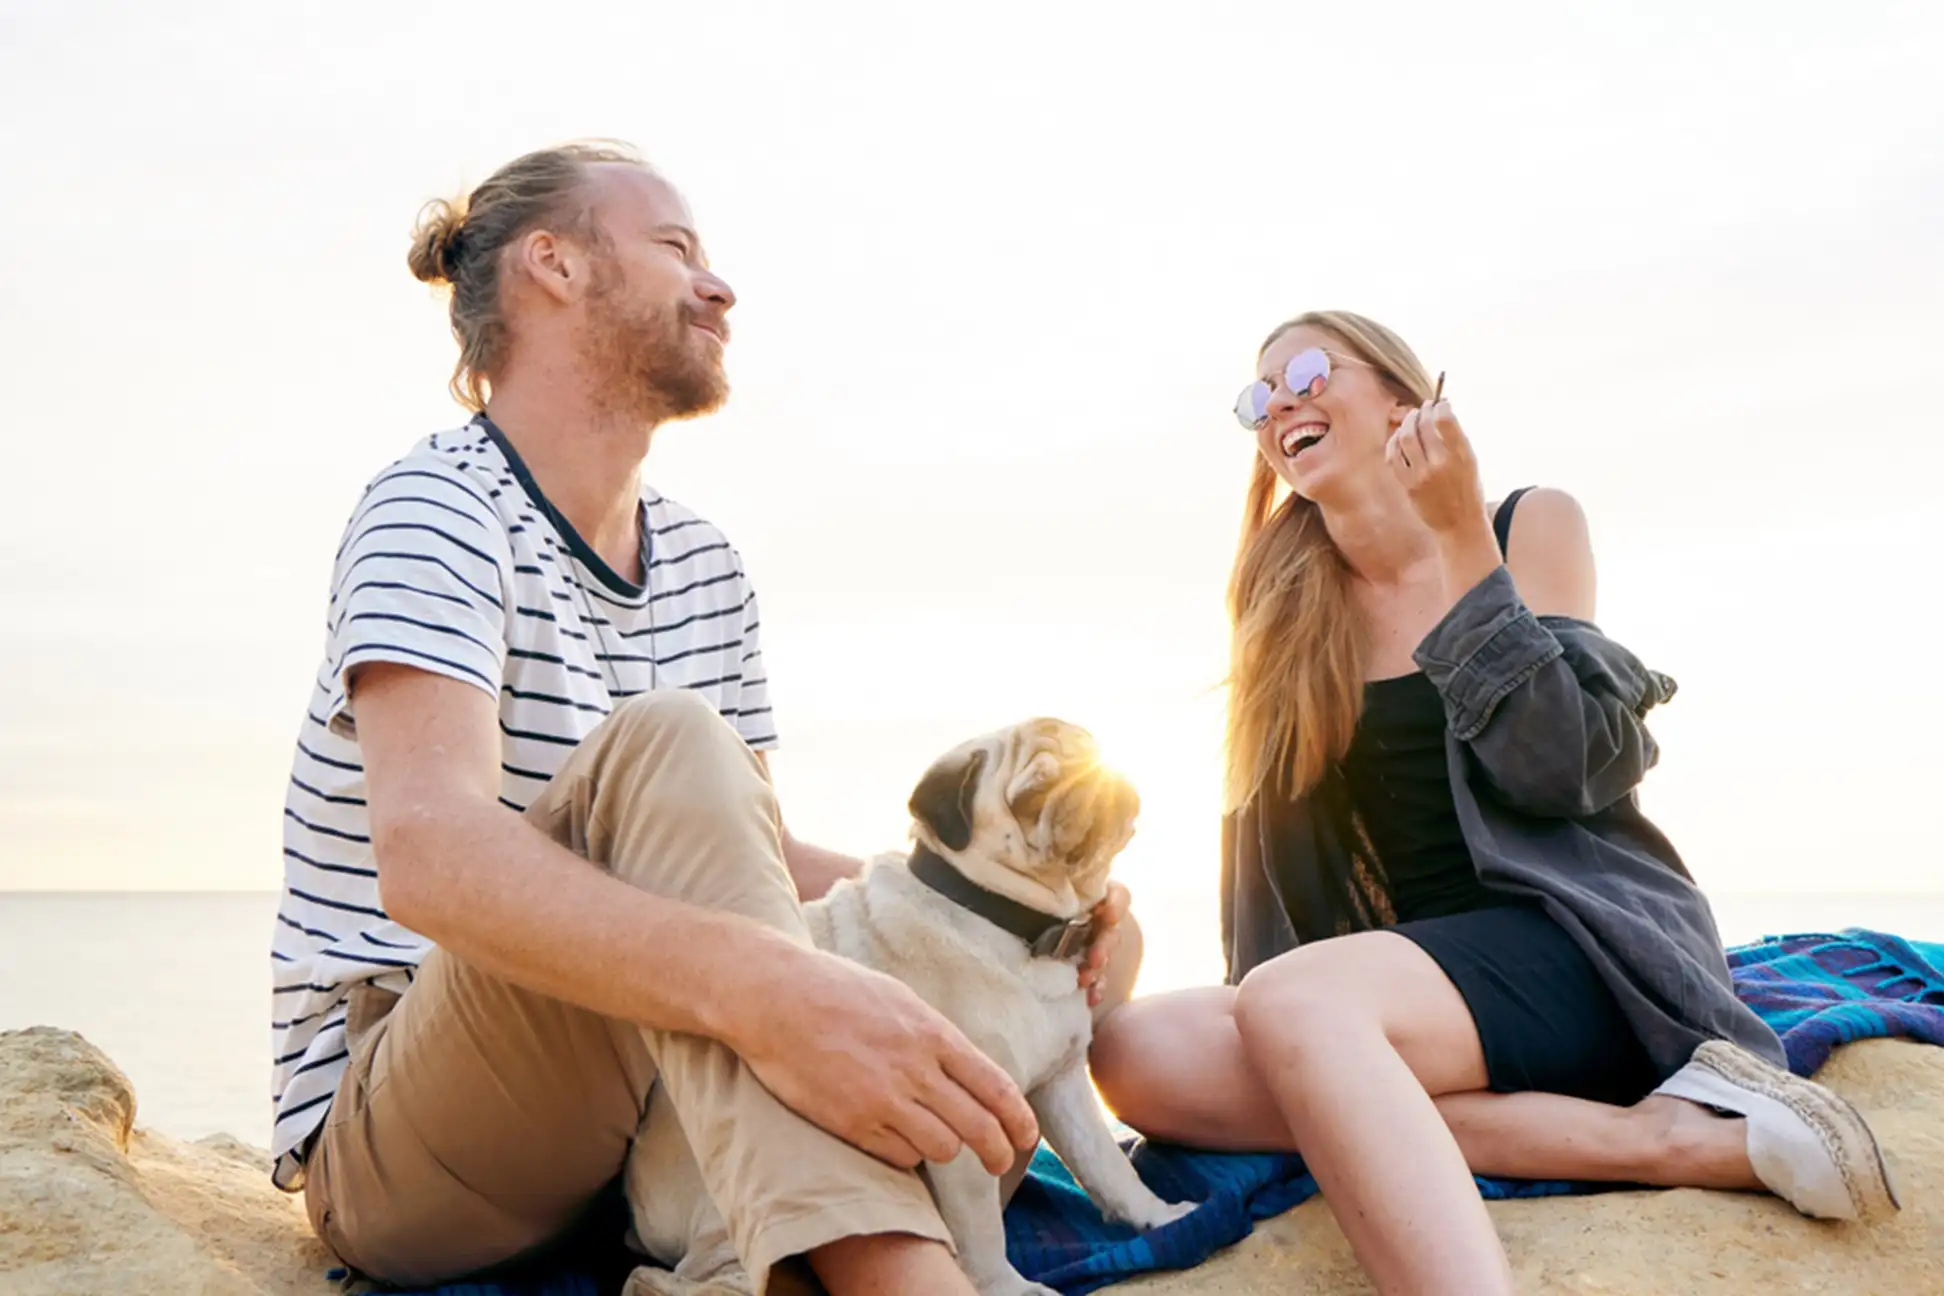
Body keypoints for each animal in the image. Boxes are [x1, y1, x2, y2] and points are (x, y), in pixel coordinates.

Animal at [629, 718, 1189, 1296]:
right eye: (1031, 797)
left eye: (1087, 745)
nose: (1094, 780)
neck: (1005, 921)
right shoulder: (967, 1127)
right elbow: (983, 1231)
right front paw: (1006, 1288)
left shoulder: (1063, 1085)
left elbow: (1106, 1166)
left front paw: (1159, 1216)